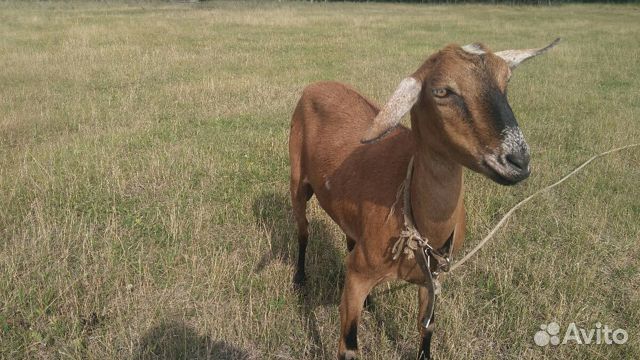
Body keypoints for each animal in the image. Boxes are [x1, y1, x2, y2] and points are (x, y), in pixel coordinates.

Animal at [288, 40, 556, 360]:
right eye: (442, 91)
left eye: (506, 82)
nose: (518, 161)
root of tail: (316, 85)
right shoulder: (357, 278)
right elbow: (349, 347)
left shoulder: (433, 277)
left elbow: (426, 327)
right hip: (297, 181)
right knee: (303, 231)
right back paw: (300, 279)